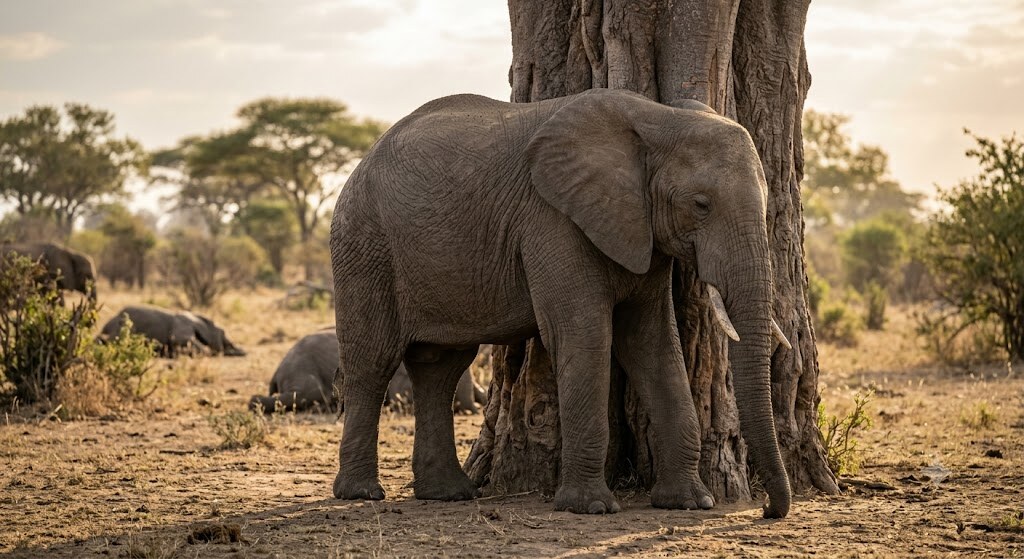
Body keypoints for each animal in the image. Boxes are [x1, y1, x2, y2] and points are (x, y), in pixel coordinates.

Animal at [328, 89, 793, 518]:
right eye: (701, 205)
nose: (768, 511)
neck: (656, 117)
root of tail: (361, 162)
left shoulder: (640, 231)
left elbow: (654, 344)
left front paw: (691, 503)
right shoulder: (552, 219)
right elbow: (584, 335)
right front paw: (591, 507)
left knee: (440, 369)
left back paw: (447, 493)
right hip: (364, 246)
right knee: (373, 363)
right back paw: (361, 493)